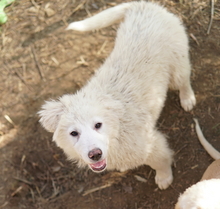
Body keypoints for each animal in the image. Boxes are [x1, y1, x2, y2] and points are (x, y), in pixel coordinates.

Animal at [37, 1, 196, 189]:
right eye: (73, 133)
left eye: (98, 125)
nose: (95, 154)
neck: (117, 130)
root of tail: (143, 6)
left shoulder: (152, 145)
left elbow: (160, 161)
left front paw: (164, 178)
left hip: (178, 62)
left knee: (184, 80)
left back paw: (188, 99)